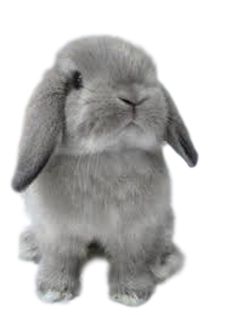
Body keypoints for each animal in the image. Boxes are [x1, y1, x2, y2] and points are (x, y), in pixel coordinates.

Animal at [12, 35, 197, 308]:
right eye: (77, 80)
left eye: (151, 76)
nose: (133, 97)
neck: (106, 155)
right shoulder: (57, 231)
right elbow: (60, 258)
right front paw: (53, 291)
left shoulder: (135, 232)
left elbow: (131, 261)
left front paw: (131, 294)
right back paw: (30, 246)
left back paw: (162, 261)